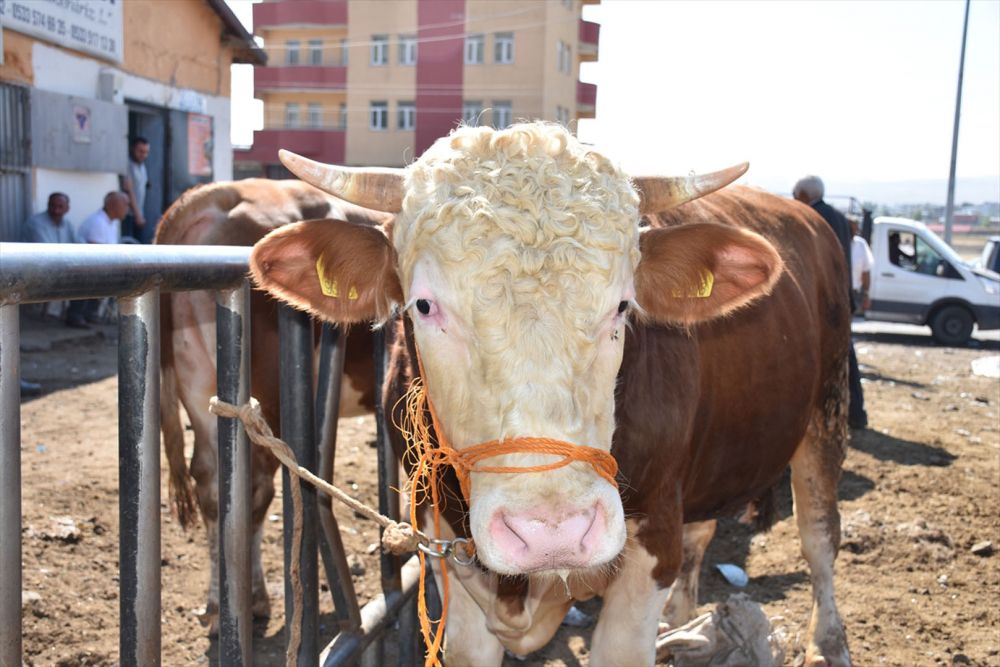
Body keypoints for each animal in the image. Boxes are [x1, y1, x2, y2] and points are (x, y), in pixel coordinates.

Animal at [155, 179, 382, 636]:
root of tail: (223, 193)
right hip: (267, 395)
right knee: (256, 485)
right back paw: (254, 600)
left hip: (196, 379)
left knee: (213, 482)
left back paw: (220, 608)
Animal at [250, 124, 852, 667]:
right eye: (423, 305)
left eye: (623, 305)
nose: (551, 534)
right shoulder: (441, 540)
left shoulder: (653, 539)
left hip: (828, 409)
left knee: (819, 532)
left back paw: (827, 643)